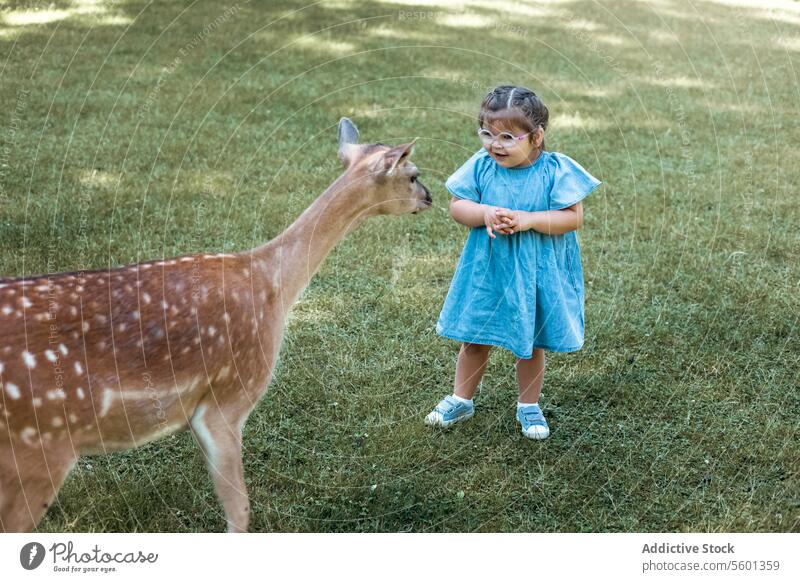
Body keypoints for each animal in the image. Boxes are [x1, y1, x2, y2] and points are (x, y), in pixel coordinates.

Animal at [0, 118, 432, 532]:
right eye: (413, 174)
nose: (429, 197)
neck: (273, 286)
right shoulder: (228, 398)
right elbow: (240, 512)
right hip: (40, 445)